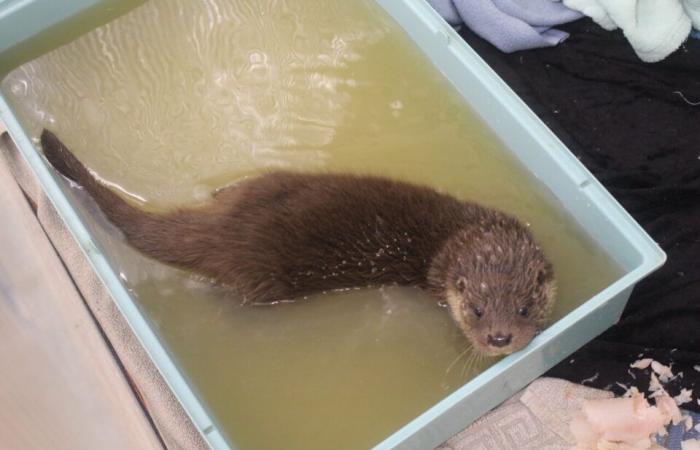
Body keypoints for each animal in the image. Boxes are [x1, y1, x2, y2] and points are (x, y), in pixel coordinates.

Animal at [42, 127, 556, 356]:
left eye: (525, 306)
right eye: (477, 311)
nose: (500, 338)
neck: (451, 237)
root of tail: (225, 232)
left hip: (264, 184)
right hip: (260, 279)